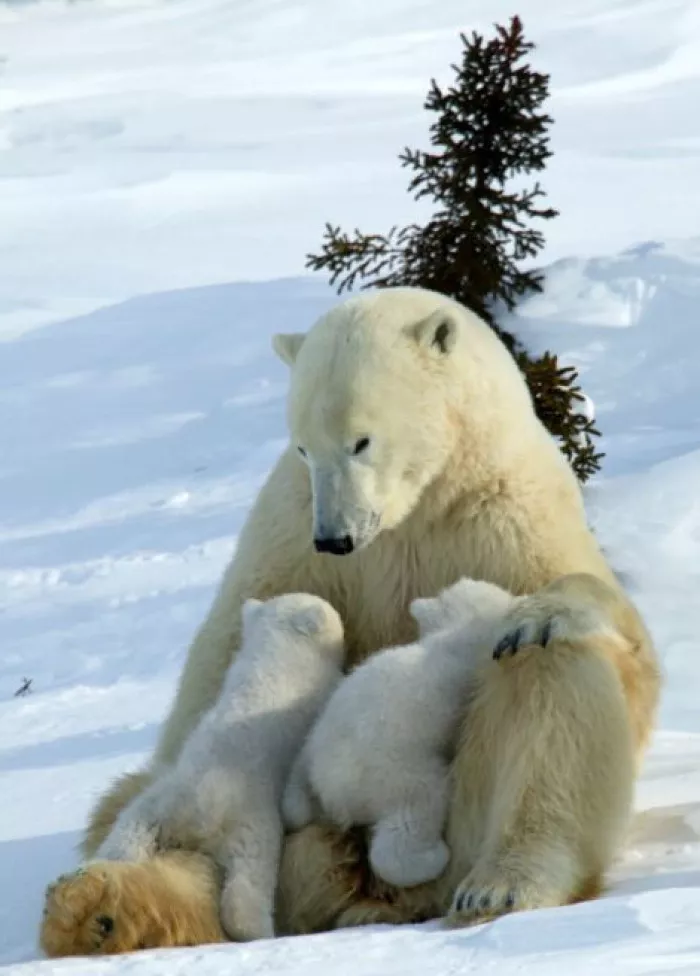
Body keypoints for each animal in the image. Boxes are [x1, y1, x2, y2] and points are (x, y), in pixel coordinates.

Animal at [282, 580, 516, 892]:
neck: (452, 638)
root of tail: (332, 790)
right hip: (395, 774)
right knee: (417, 809)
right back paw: (433, 857)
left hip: (312, 747)